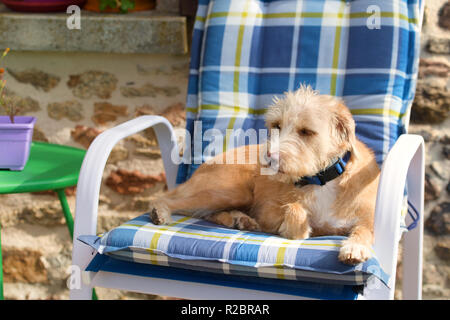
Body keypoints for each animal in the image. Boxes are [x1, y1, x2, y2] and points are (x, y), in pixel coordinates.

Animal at [150, 85, 380, 264]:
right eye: (277, 126)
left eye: (306, 131)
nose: (269, 157)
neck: (321, 180)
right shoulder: (267, 211)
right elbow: (294, 210)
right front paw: (297, 226)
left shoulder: (366, 218)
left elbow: (365, 230)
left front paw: (355, 247)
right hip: (232, 192)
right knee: (169, 199)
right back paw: (160, 212)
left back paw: (238, 219)